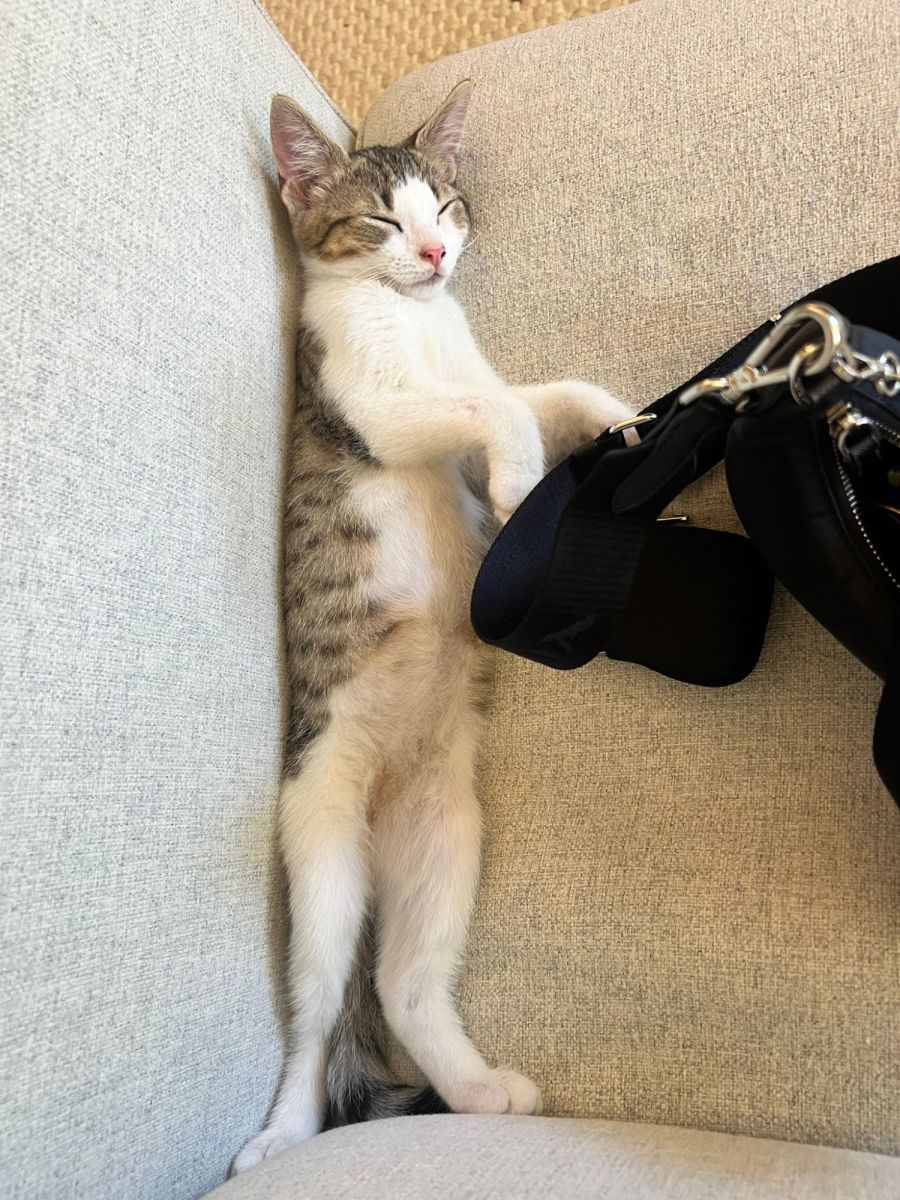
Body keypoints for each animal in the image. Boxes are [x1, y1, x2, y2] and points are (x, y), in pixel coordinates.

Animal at [234, 80, 631, 1173]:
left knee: (407, 984)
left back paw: (481, 1091)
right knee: (319, 1013)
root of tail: (377, 806)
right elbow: (493, 413)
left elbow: (532, 394)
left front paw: (613, 412)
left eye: (443, 205)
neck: (409, 316)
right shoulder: (366, 401)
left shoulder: (468, 376)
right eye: (378, 219)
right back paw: (282, 1130)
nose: (435, 254)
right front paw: (517, 485)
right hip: (320, 847)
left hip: (445, 838)